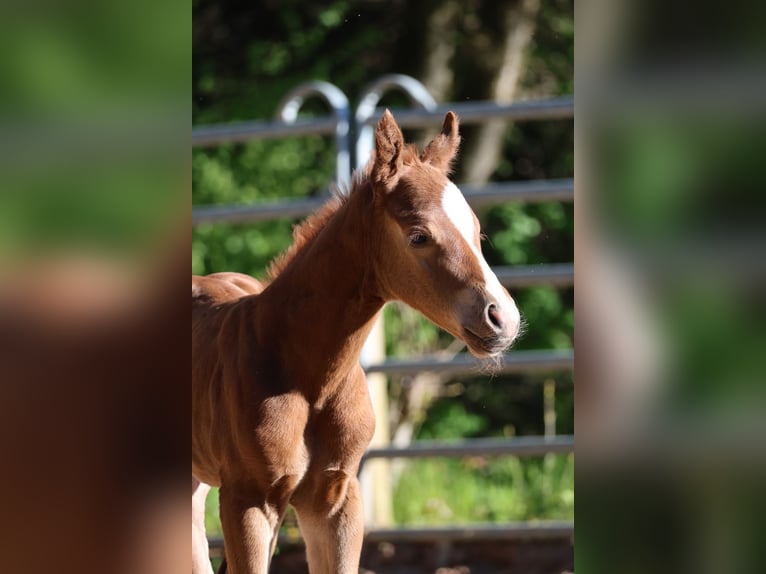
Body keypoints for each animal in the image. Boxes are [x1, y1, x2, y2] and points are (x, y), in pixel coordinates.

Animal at [191, 109, 521, 574]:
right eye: (419, 235)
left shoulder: (336, 497)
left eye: (476, 231)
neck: (307, 377)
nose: (502, 318)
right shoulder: (248, 501)